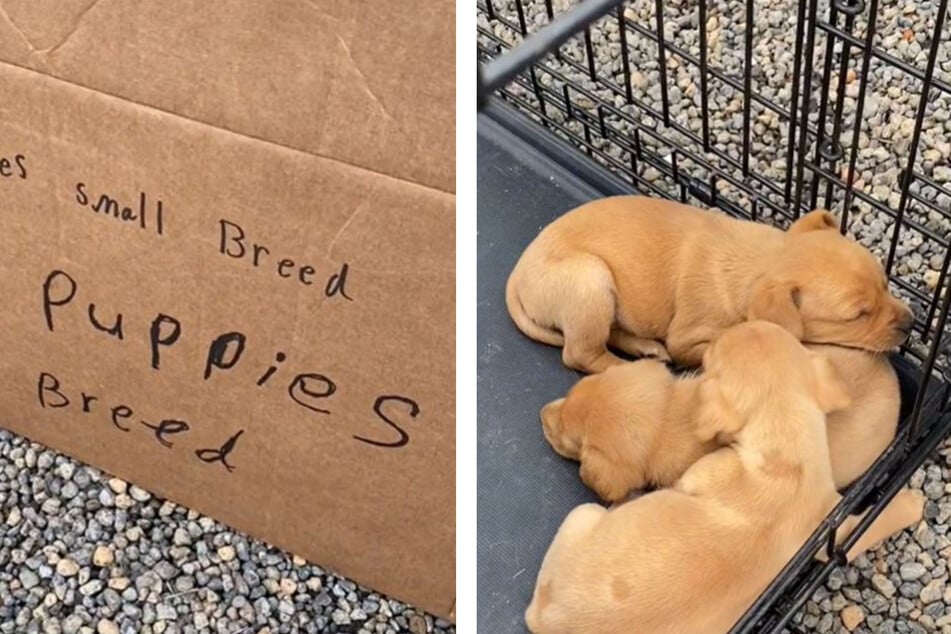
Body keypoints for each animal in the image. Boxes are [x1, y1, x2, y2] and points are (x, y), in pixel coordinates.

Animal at [506, 196, 916, 370]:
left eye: (886, 284)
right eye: (858, 315)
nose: (912, 325)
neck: (761, 261)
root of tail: (517, 274)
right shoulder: (688, 337)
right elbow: (715, 343)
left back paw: (645, 347)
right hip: (590, 281)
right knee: (581, 353)